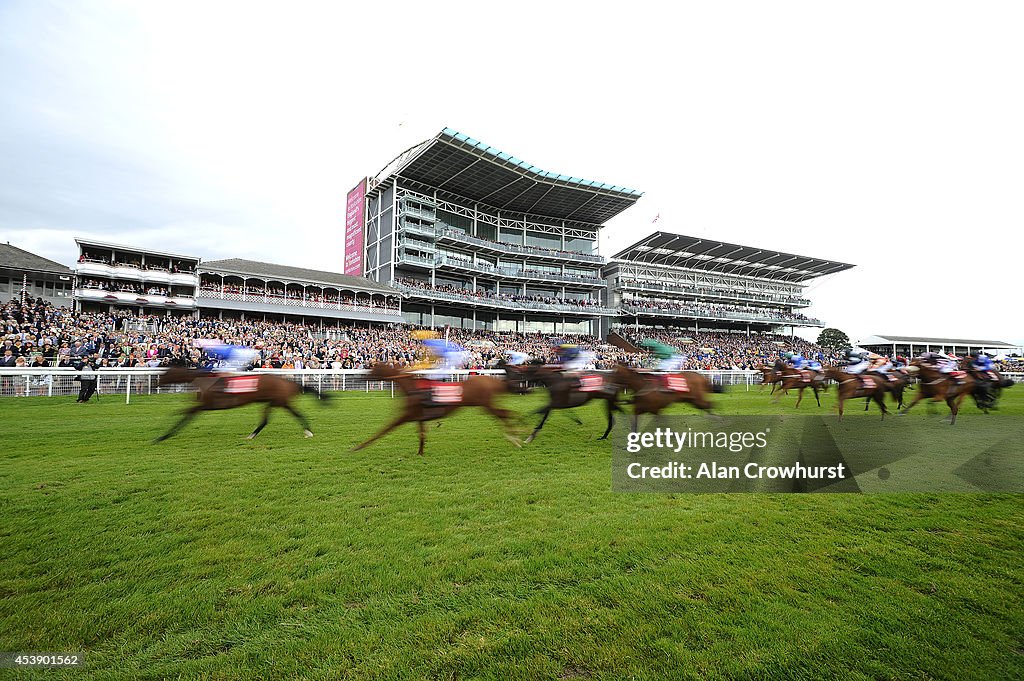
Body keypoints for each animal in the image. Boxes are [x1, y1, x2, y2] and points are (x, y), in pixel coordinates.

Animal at [152, 366, 327, 440]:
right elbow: (185, 413)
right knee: (268, 419)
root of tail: (287, 383)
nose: (156, 382)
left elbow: (186, 414)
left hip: (279, 401)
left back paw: (308, 432)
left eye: (167, 373)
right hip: (274, 402)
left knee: (293, 414)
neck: (204, 380)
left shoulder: (209, 405)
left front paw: (163, 435)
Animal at [356, 364, 524, 454]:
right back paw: (517, 433)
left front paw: (359, 446)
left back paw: (516, 437)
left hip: (485, 404)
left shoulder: (406, 416)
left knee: (504, 414)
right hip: (486, 405)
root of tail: (494, 381)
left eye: (376, 368)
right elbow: (421, 434)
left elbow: (385, 429)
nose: (363, 377)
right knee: (505, 414)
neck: (412, 388)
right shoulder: (419, 417)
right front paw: (420, 453)